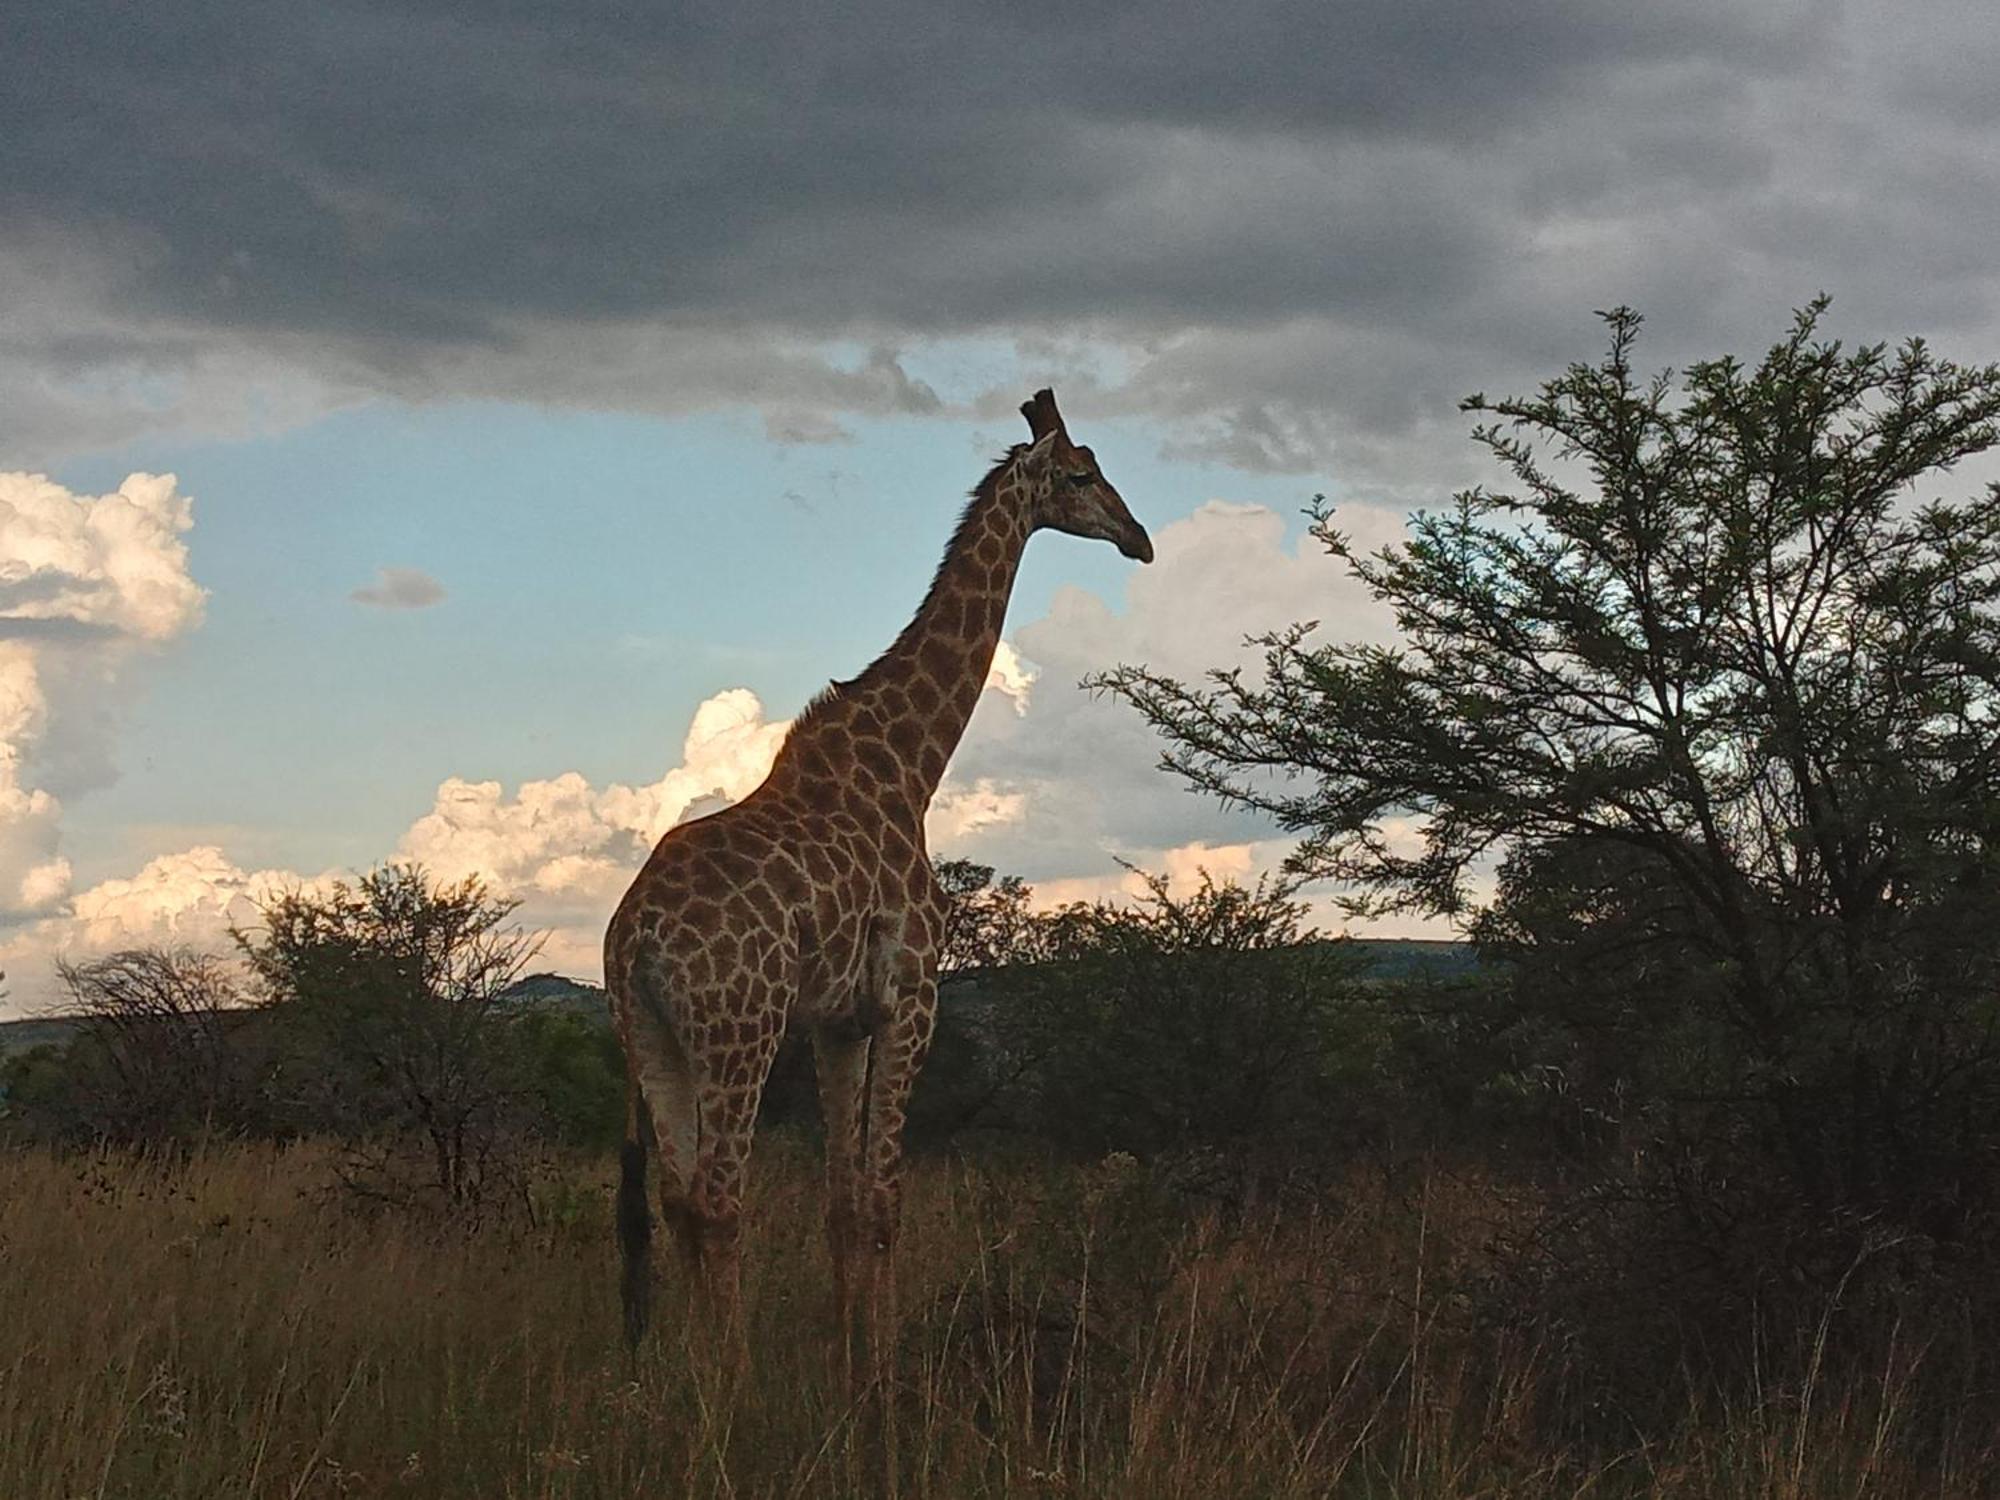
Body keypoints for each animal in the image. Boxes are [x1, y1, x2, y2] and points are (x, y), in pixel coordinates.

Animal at [600, 388, 1152, 1384]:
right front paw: (890, 1379)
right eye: (1082, 473)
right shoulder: (911, 998)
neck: (908, 770)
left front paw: (850, 1361)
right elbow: (888, 1204)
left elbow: (844, 1206)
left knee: (675, 1198)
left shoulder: (838, 1019)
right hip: (738, 1029)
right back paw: (731, 1384)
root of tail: (634, 939)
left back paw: (686, 1375)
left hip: (651, 1034)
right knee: (718, 1200)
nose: (1141, 538)